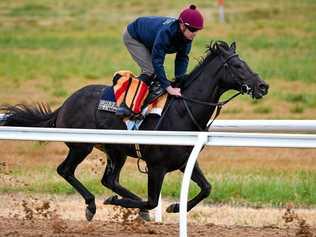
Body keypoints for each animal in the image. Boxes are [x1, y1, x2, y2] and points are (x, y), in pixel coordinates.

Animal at [1, 40, 270, 220]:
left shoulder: (184, 161)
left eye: (245, 62)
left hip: (115, 150)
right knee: (65, 170)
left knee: (109, 179)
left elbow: (206, 188)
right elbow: (152, 201)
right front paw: (135, 205)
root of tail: (65, 104)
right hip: (81, 146)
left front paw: (174, 207)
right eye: (237, 65)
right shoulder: (157, 166)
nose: (263, 86)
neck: (182, 111)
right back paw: (92, 205)